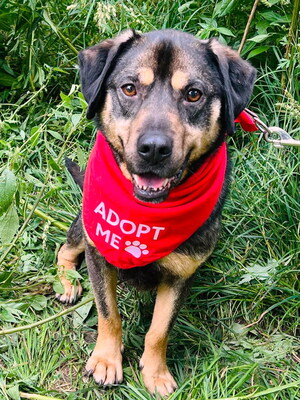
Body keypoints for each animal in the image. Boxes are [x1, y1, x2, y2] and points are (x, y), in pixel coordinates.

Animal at [55, 29, 255, 396]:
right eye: (129, 88)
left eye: (193, 94)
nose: (153, 148)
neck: (148, 214)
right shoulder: (99, 253)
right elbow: (108, 313)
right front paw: (107, 360)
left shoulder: (180, 275)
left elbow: (159, 329)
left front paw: (156, 372)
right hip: (84, 225)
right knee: (65, 248)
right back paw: (66, 281)